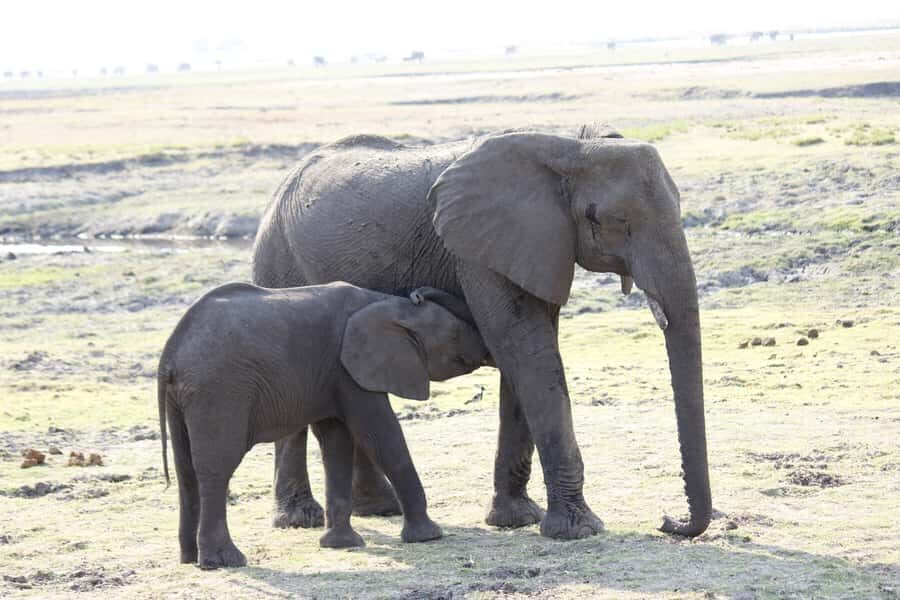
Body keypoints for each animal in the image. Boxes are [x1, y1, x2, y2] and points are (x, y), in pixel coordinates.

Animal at [157, 282, 488, 568]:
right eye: (456, 333)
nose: (417, 292)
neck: (382, 302)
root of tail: (169, 354)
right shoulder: (350, 370)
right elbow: (380, 432)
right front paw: (429, 537)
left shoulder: (332, 375)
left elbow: (337, 440)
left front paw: (341, 544)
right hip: (219, 391)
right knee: (216, 468)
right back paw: (224, 561)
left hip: (187, 397)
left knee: (186, 471)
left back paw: (189, 558)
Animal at [251, 124, 712, 539]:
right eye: (611, 220)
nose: (668, 521)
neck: (569, 146)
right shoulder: (476, 250)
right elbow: (526, 349)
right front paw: (578, 530)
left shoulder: (534, 246)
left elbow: (528, 355)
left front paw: (517, 519)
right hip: (277, 264)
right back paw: (300, 518)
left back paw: (379, 508)